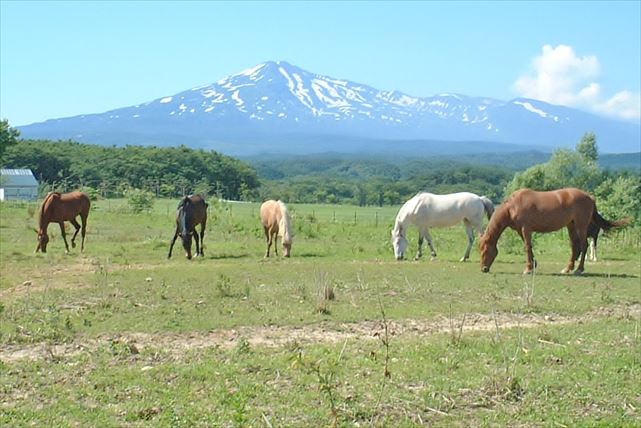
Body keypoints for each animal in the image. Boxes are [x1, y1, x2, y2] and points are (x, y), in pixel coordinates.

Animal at [479, 188, 628, 275]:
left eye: (485, 250)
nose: (483, 269)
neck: (513, 206)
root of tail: (590, 197)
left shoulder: (526, 229)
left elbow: (527, 247)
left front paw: (528, 269)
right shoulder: (521, 231)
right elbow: (529, 247)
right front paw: (533, 265)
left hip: (581, 226)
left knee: (584, 246)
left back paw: (579, 269)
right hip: (571, 226)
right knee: (575, 247)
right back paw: (568, 269)